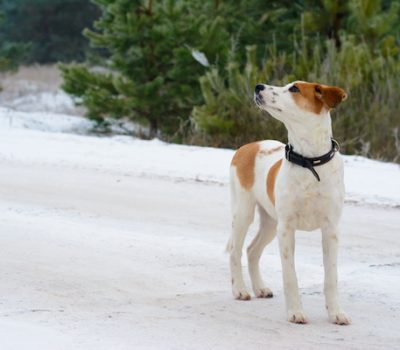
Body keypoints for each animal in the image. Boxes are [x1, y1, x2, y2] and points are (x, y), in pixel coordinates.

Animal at [228, 80, 350, 324]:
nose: (258, 86)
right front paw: (295, 312)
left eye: (294, 89)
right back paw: (240, 290)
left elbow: (331, 276)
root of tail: (248, 146)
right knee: (235, 251)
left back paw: (260, 288)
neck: (309, 162)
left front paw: (336, 313)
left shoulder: (331, 229)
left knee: (252, 250)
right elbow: (290, 275)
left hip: (270, 223)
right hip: (244, 213)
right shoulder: (287, 229)